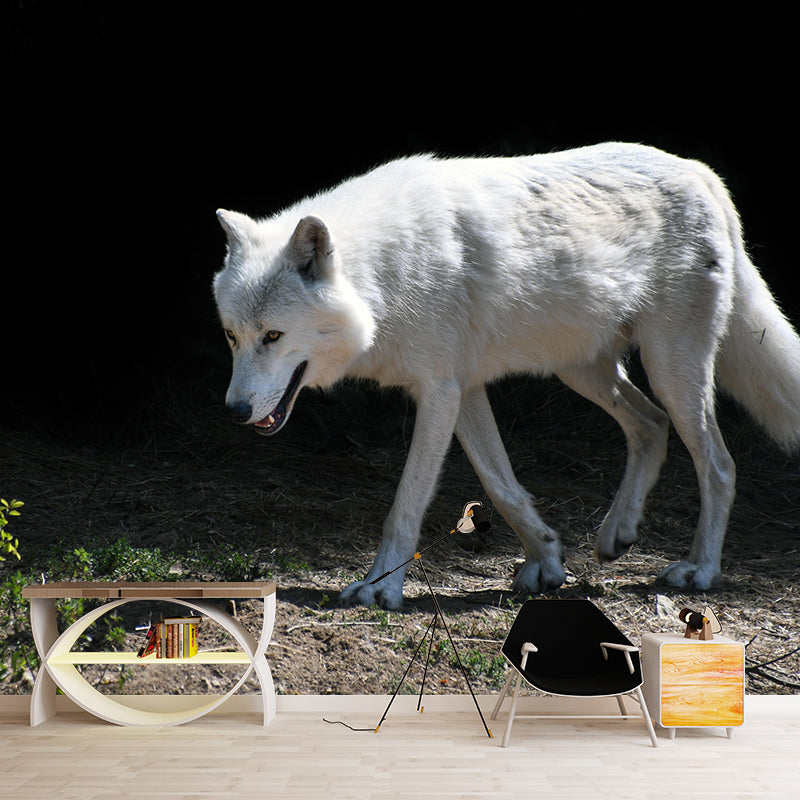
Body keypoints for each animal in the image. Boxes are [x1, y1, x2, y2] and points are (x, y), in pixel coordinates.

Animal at [213, 142, 800, 609]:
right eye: (232, 337)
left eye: (273, 336)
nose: (234, 412)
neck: (383, 277)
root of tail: (700, 172)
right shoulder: (463, 390)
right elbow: (502, 487)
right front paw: (547, 561)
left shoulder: (439, 393)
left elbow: (405, 505)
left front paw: (380, 589)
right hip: (584, 370)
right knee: (650, 426)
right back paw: (618, 533)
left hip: (670, 370)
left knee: (719, 464)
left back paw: (701, 570)